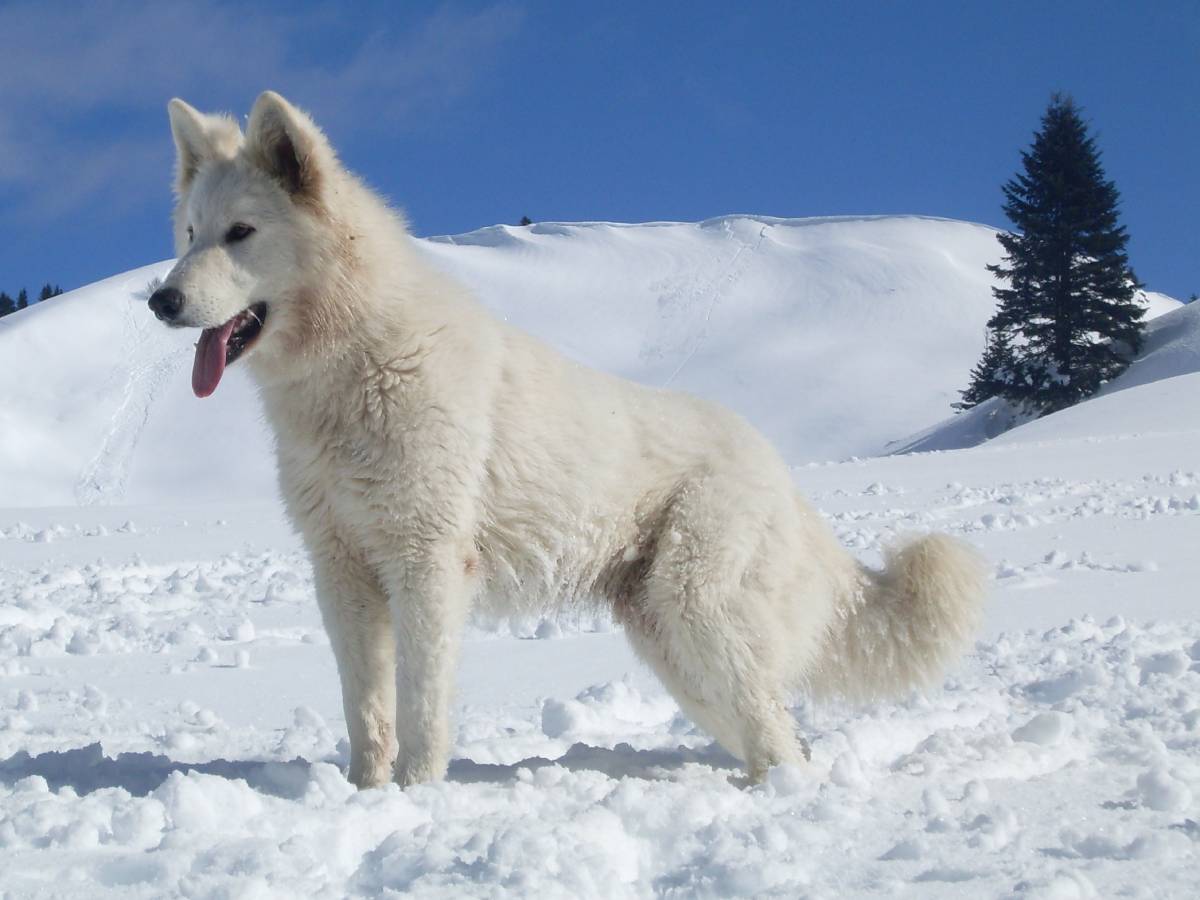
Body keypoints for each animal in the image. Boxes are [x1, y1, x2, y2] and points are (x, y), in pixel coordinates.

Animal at [150, 88, 984, 787]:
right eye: (190, 234)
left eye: (241, 233)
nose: (160, 300)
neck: (358, 361)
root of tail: (778, 471)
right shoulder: (343, 575)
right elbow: (368, 712)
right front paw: (364, 794)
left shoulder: (426, 567)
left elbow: (421, 706)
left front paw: (415, 795)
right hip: (674, 644)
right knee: (773, 732)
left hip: (698, 616)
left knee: (782, 741)